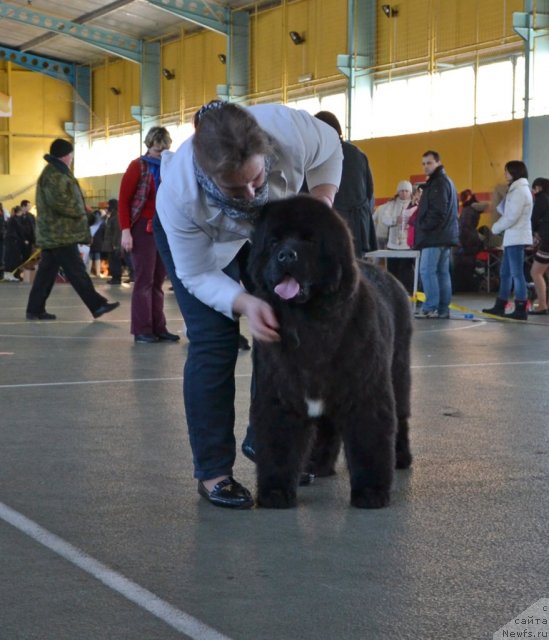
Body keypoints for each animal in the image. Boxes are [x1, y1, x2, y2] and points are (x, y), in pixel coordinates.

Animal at [248, 195, 412, 510]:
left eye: (309, 241)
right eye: (274, 242)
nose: (285, 256)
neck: (310, 323)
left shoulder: (366, 392)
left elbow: (370, 440)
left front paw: (371, 492)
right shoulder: (278, 396)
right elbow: (278, 444)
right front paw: (275, 492)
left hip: (398, 372)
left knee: (402, 417)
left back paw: (401, 458)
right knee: (327, 428)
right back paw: (318, 465)